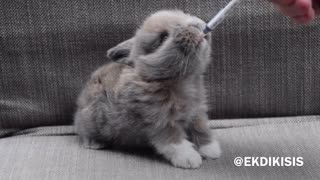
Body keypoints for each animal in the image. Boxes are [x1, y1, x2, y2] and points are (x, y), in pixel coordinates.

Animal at [74, 10, 220, 169]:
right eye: (163, 37)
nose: (195, 25)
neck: (182, 80)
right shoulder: (159, 120)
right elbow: (173, 140)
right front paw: (189, 159)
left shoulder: (197, 113)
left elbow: (201, 129)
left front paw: (211, 150)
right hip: (91, 121)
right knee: (84, 132)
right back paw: (94, 144)